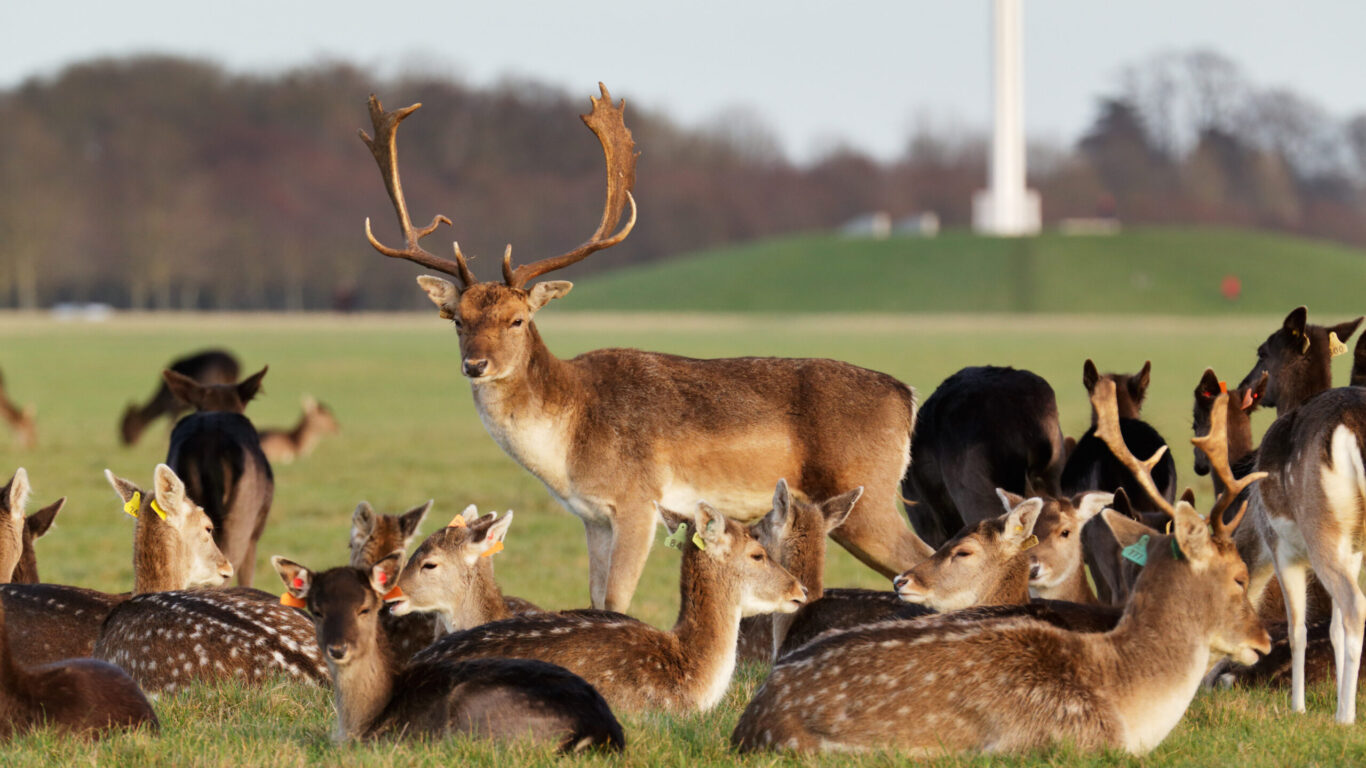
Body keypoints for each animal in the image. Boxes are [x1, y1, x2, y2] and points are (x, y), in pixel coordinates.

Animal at [360, 84, 930, 612]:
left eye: (518, 319)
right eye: (457, 320)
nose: (475, 364)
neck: (569, 439)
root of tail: (907, 396)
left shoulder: (638, 499)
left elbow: (616, 600)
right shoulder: (591, 516)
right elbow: (594, 598)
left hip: (869, 493)